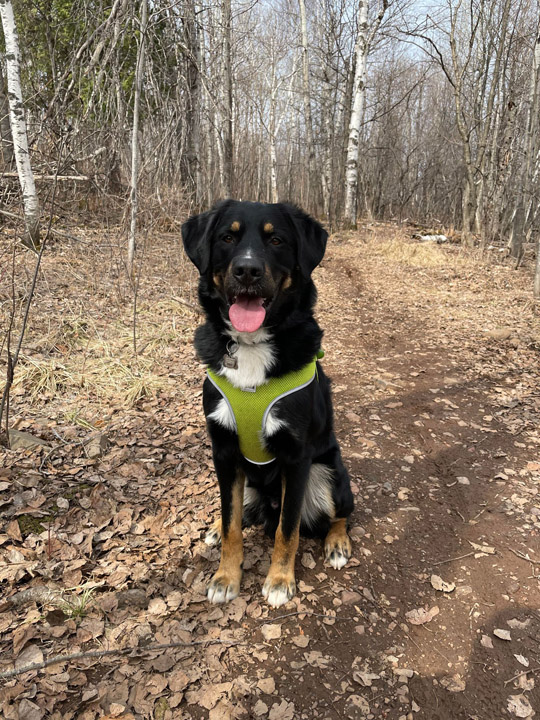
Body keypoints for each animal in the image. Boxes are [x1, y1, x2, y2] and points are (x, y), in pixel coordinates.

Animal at [182, 198, 354, 608]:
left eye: (276, 240)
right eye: (227, 237)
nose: (247, 270)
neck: (252, 346)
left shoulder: (297, 457)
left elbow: (287, 530)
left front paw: (279, 580)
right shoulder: (223, 450)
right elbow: (232, 526)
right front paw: (226, 576)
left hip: (330, 473)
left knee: (341, 513)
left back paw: (338, 542)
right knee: (235, 512)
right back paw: (216, 525)